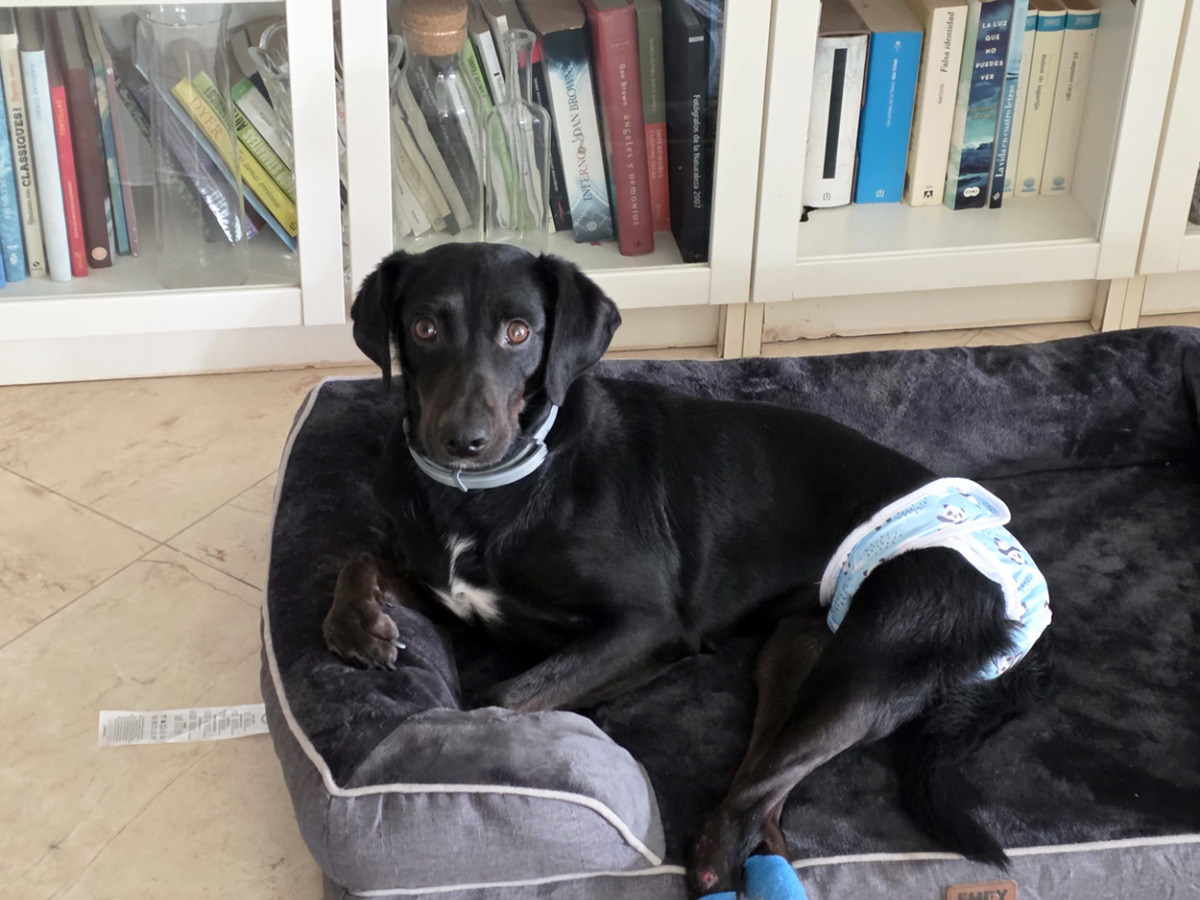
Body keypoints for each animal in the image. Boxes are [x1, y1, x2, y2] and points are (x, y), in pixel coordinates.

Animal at [323, 243, 1051, 896]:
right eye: (424, 328)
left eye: (519, 331)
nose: (463, 441)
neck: (484, 491)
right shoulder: (445, 586)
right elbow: (359, 557)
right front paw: (356, 625)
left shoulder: (649, 626)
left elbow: (499, 698)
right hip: (797, 653)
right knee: (767, 788)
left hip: (873, 663)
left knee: (756, 792)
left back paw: (711, 866)